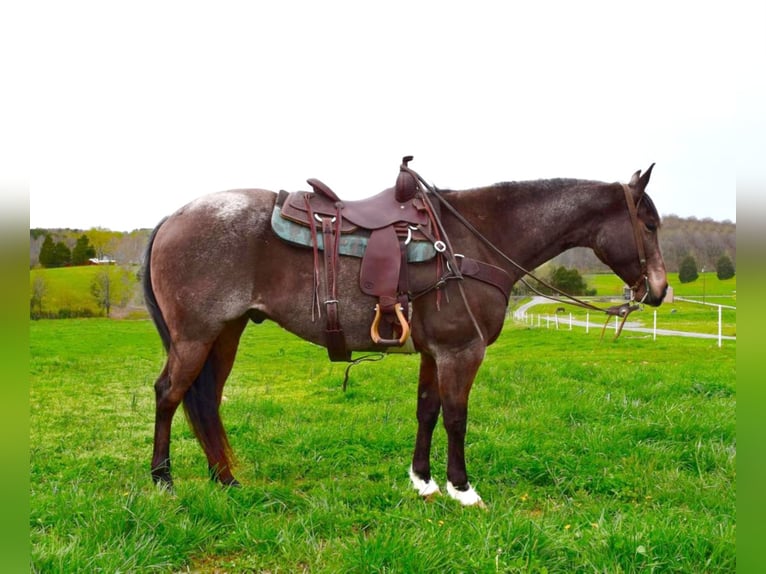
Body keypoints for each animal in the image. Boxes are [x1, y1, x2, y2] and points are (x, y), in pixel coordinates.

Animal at [142, 162, 664, 508]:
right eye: (649, 224)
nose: (659, 290)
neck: (472, 241)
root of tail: (172, 218)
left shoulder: (435, 353)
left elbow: (427, 411)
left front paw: (423, 481)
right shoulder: (461, 351)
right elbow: (456, 417)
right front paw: (462, 488)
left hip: (223, 336)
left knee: (206, 401)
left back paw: (225, 480)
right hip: (195, 337)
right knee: (169, 394)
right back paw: (163, 482)